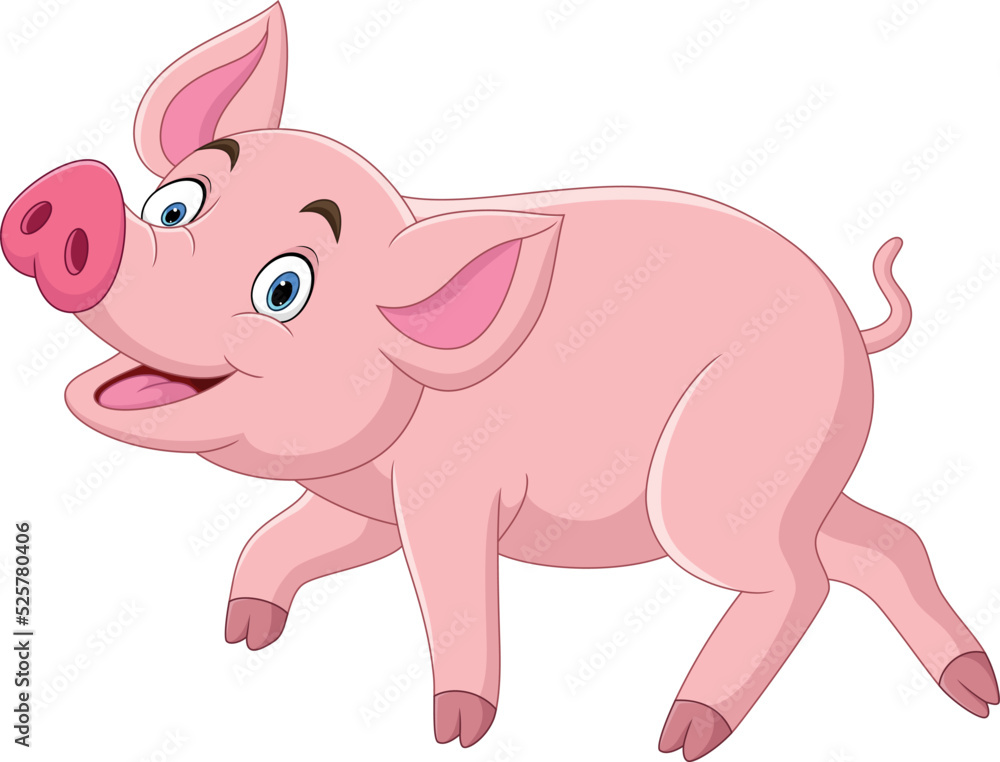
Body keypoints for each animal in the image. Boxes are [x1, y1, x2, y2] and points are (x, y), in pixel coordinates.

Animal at [2, 4, 996, 759]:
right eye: (177, 204)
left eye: (284, 289)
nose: (80, 206)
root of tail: (852, 329)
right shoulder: (365, 505)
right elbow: (282, 539)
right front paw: (243, 634)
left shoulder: (450, 492)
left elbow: (452, 596)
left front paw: (454, 734)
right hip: (794, 475)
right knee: (881, 542)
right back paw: (973, 695)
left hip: (718, 473)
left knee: (798, 581)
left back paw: (679, 736)